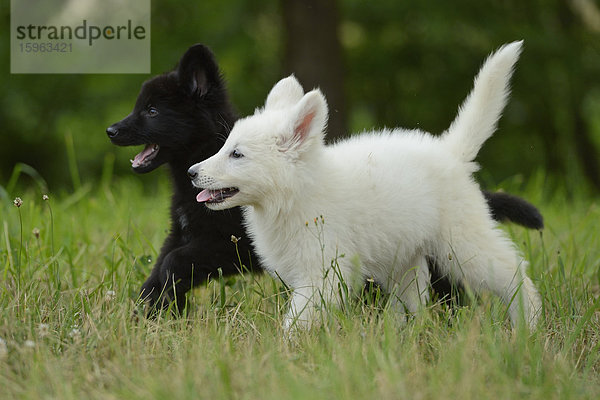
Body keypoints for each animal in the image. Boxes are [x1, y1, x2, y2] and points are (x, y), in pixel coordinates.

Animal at [106, 43, 544, 312]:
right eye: (224, 146)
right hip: (406, 256)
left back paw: (528, 323)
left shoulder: (300, 264)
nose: (195, 173)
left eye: (152, 111)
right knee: (419, 301)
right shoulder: (192, 238)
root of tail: (449, 152)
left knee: (506, 274)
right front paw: (149, 312)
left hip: (459, 244)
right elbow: (163, 269)